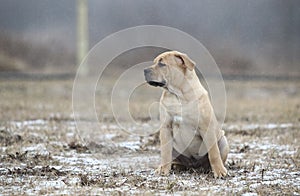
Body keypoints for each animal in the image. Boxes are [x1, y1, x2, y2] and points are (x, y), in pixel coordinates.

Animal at [144, 50, 229, 178]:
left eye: (162, 64)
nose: (144, 70)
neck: (178, 94)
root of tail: (193, 165)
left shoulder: (206, 128)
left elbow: (214, 153)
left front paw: (220, 172)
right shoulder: (166, 127)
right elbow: (165, 152)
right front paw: (163, 170)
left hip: (223, 141)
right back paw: (174, 166)